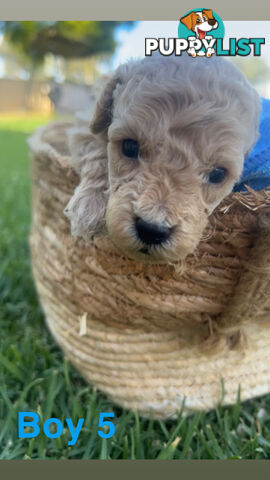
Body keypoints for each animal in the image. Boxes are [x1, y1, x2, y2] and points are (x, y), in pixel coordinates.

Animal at [64, 57, 260, 266]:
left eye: (218, 174)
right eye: (129, 147)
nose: (151, 231)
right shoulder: (84, 124)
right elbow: (96, 149)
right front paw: (89, 207)